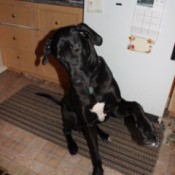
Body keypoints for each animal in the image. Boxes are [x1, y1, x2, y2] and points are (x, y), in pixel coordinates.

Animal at [40, 22, 159, 175]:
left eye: (76, 47)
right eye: (59, 56)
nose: (77, 82)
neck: (92, 84)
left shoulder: (115, 108)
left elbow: (136, 105)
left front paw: (148, 130)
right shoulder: (87, 121)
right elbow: (95, 152)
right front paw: (97, 170)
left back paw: (104, 135)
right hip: (70, 116)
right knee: (66, 130)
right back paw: (72, 145)